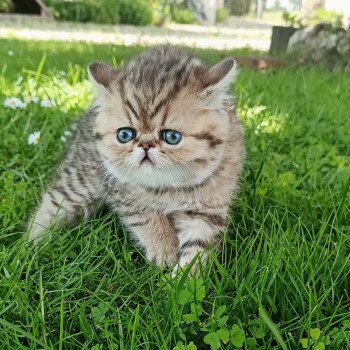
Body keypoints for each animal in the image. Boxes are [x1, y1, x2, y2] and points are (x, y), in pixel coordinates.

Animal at [28, 46, 245, 270]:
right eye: (125, 135)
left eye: (172, 137)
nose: (145, 145)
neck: (168, 188)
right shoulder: (123, 192)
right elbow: (146, 217)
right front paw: (164, 249)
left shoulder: (207, 211)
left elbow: (198, 249)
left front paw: (186, 277)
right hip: (80, 181)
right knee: (52, 204)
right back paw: (30, 248)